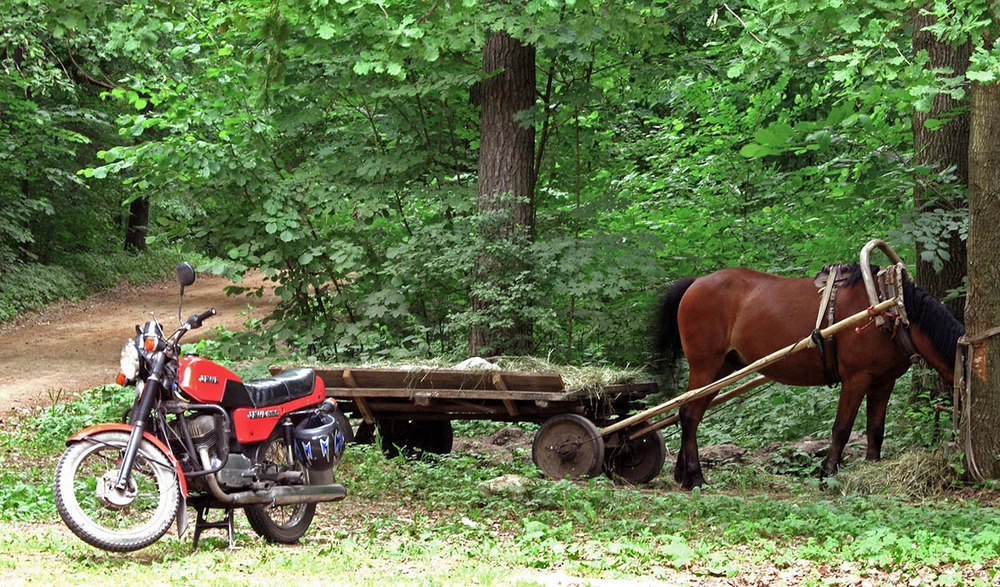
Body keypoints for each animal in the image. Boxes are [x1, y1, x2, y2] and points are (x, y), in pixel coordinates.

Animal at [660, 264, 964, 490]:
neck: (889, 307)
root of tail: (696, 282)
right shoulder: (856, 378)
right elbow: (842, 429)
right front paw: (827, 473)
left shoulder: (883, 381)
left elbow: (876, 430)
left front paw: (873, 467)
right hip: (705, 365)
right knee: (689, 414)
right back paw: (695, 477)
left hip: (720, 369)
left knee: (689, 414)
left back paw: (683, 474)